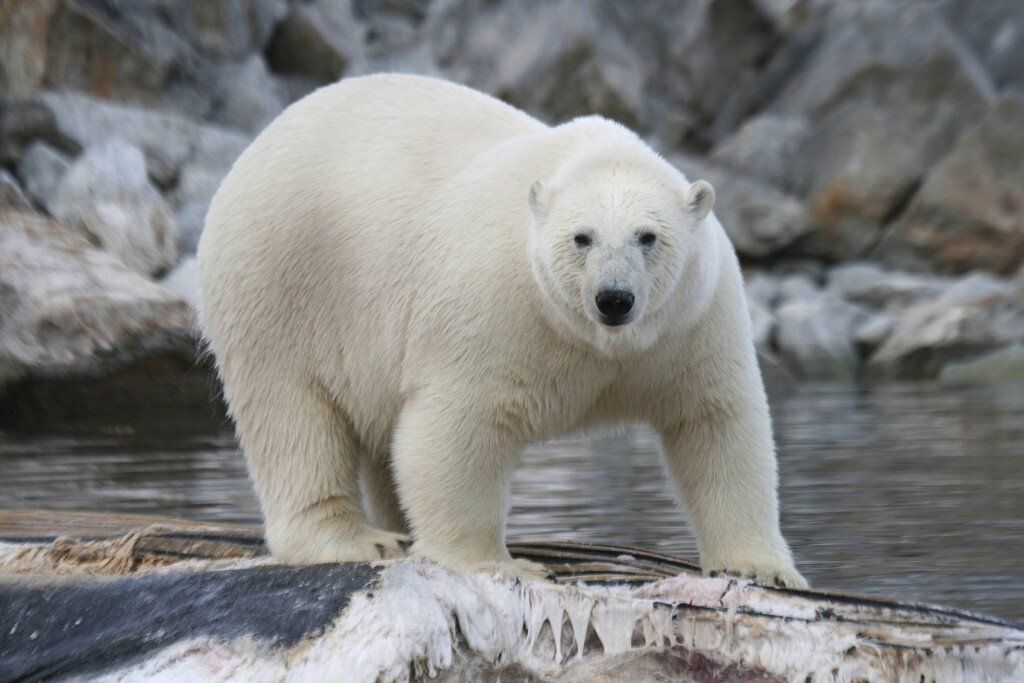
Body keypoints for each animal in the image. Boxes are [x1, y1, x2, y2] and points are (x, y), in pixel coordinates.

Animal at [198, 74, 806, 588]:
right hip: (280, 280)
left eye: (647, 236)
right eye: (582, 237)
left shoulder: (692, 319)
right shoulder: (497, 305)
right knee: (291, 413)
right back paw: (360, 540)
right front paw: (499, 563)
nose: (613, 298)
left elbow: (716, 421)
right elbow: (456, 426)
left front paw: (762, 569)